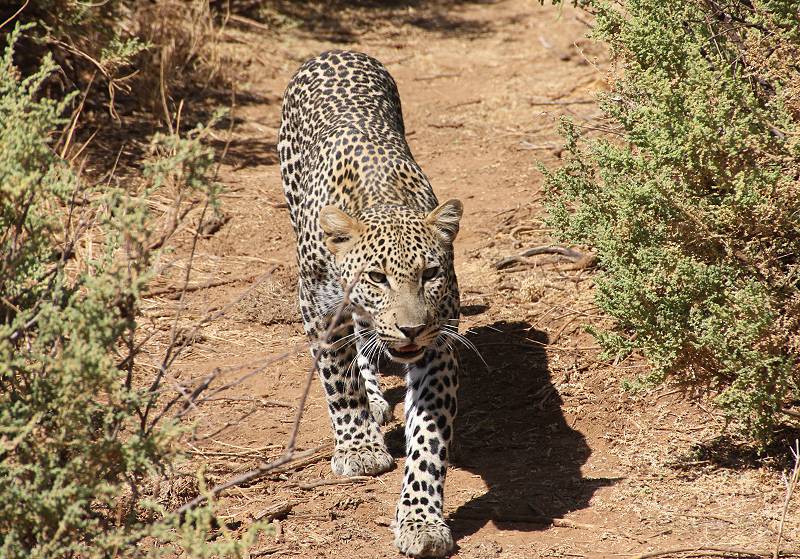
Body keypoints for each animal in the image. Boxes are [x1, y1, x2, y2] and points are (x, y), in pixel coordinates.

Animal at [278, 50, 462, 556]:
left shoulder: (439, 343)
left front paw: (421, 520)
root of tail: (338, 51)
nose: (411, 329)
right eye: (377, 277)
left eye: (430, 274)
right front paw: (359, 449)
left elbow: (428, 441)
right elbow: (339, 381)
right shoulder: (319, 310)